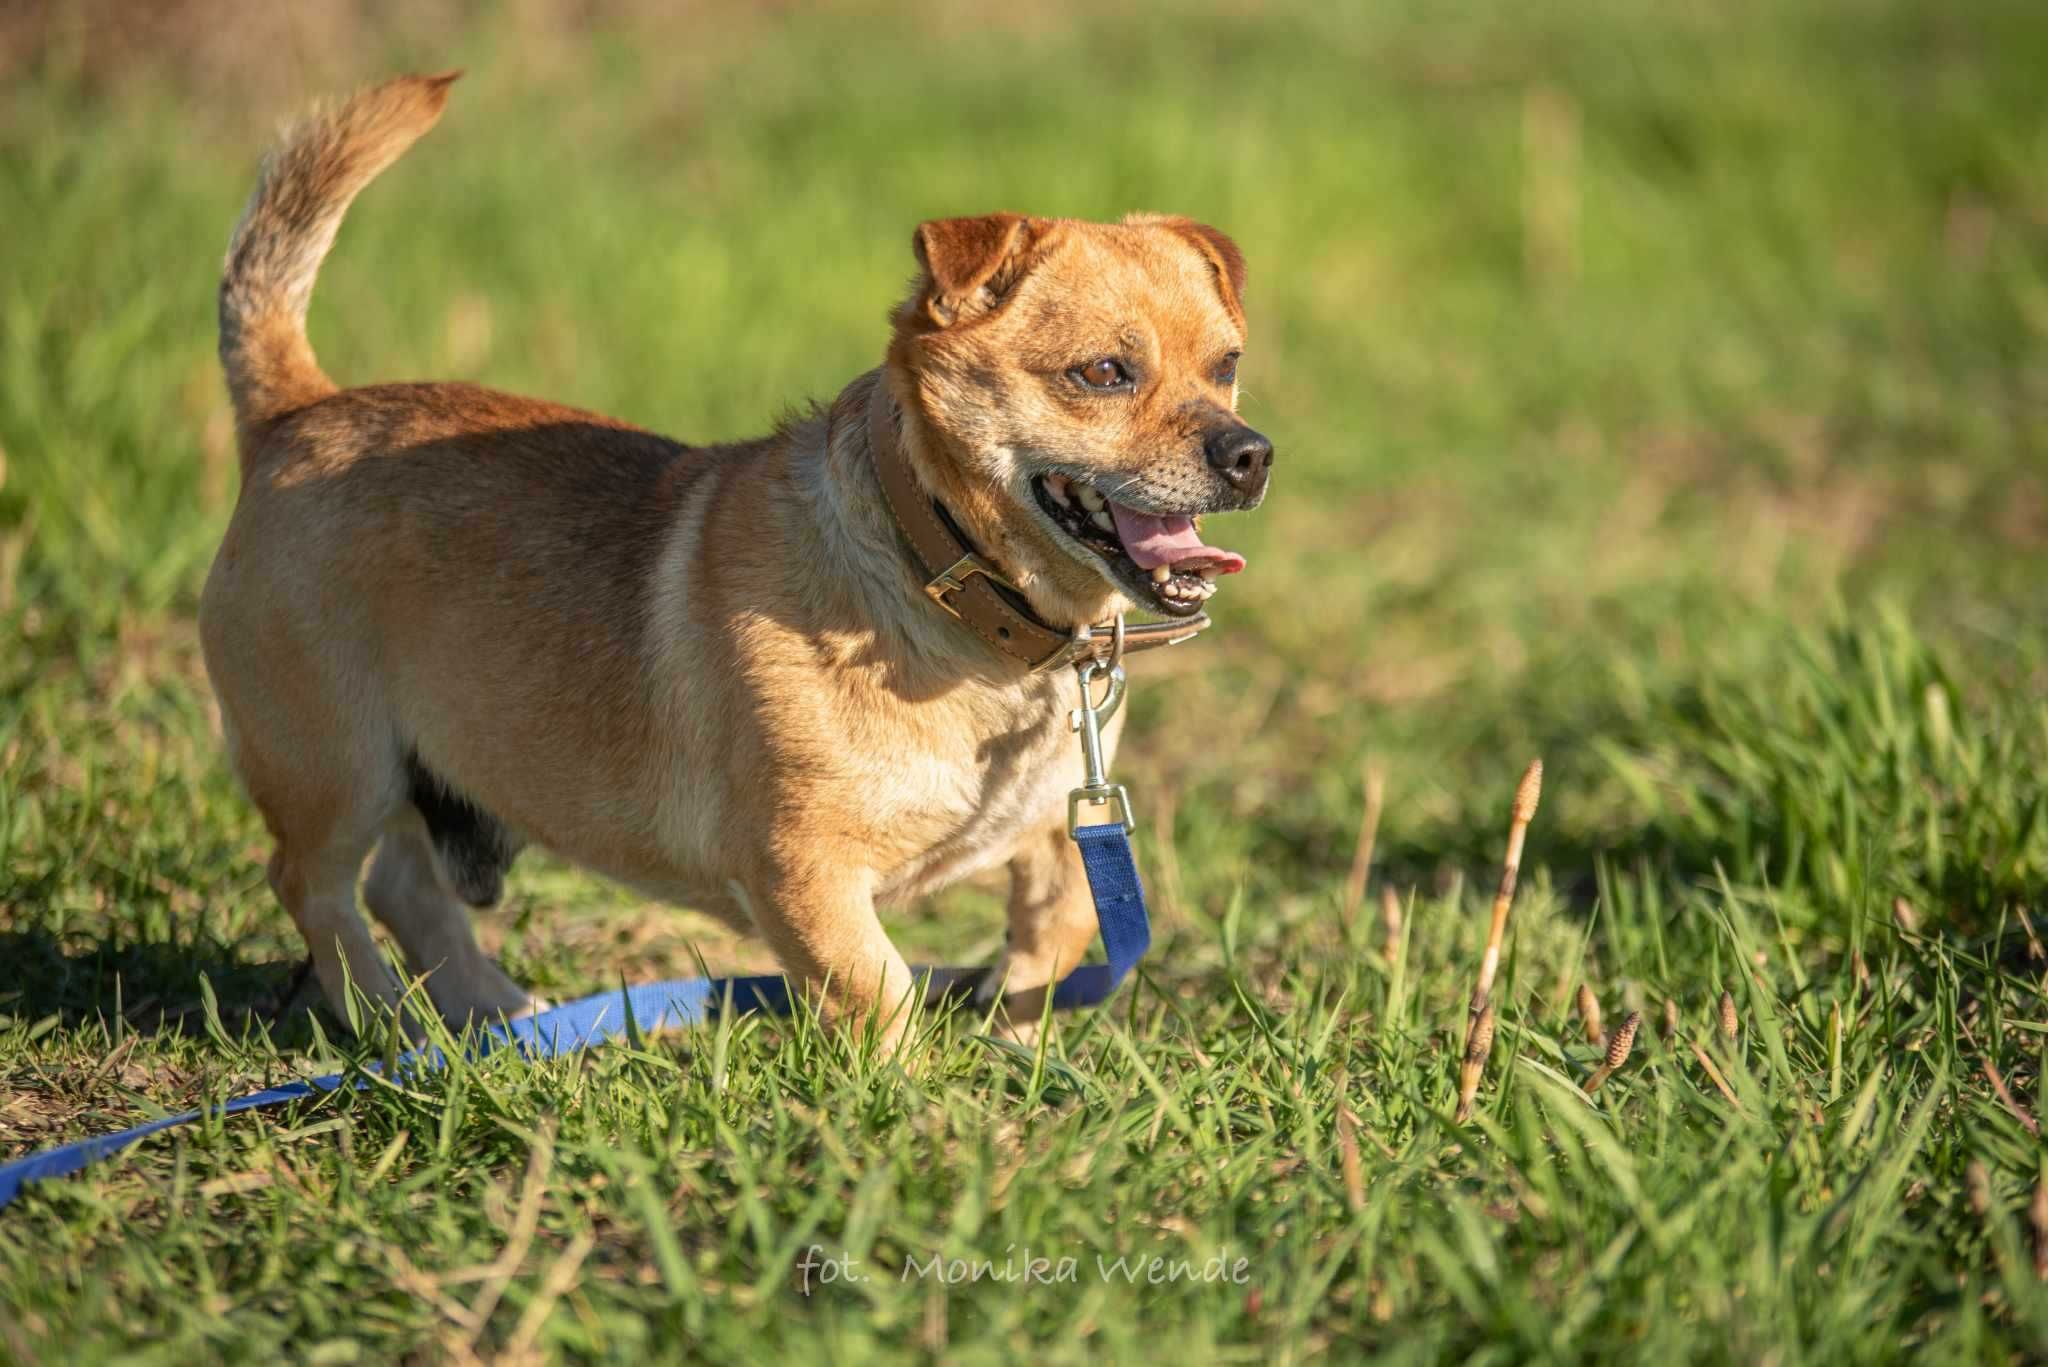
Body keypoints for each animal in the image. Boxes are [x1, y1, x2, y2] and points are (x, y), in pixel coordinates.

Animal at [199, 77, 1269, 1049]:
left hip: (424, 766)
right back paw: (384, 1023)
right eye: (1104, 373)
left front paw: (1014, 1032)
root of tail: (296, 408)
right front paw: (916, 1103)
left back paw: (490, 1020)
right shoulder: (804, 871)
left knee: (403, 883)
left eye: (1226, 365)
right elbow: (879, 992)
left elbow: (1067, 924)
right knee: (314, 883)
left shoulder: (1059, 825)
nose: (1252, 454)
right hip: (338, 767)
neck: (964, 602)